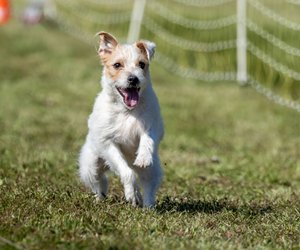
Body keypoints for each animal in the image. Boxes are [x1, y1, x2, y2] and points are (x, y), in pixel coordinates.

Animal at [78, 31, 164, 207]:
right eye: (117, 65)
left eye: (142, 64)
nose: (133, 78)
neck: (127, 111)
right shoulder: (107, 142)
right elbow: (127, 172)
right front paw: (131, 194)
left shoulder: (152, 125)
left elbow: (148, 138)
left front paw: (143, 156)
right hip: (90, 166)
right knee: (99, 182)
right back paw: (101, 198)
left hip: (152, 170)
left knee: (148, 186)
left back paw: (148, 206)